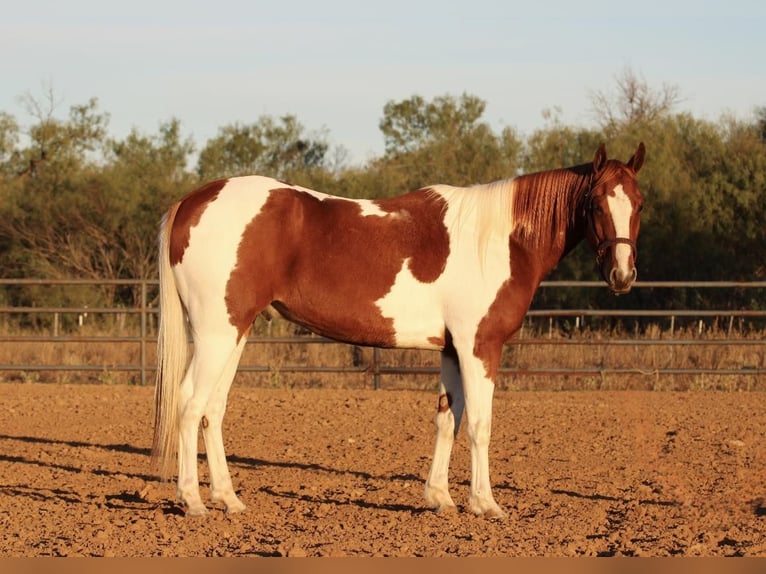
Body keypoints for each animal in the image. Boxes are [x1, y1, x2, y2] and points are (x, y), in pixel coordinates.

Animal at [154, 143, 648, 516]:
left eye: (639, 204)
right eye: (596, 203)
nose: (623, 275)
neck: (500, 240)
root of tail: (193, 201)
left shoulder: (452, 349)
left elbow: (448, 419)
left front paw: (440, 498)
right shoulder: (480, 346)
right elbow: (480, 424)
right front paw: (486, 504)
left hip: (235, 332)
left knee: (212, 408)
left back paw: (228, 499)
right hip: (217, 334)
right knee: (189, 403)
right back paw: (192, 501)